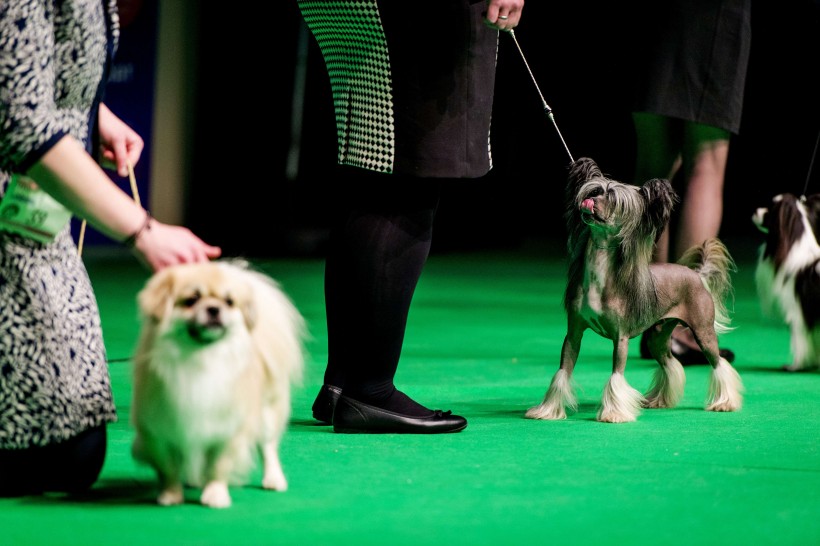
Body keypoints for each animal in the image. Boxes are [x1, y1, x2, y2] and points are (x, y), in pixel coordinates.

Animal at [524, 156, 744, 420]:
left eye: (614, 199)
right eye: (595, 190)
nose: (591, 201)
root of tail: (698, 276)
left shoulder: (620, 339)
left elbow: (616, 376)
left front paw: (613, 414)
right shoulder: (573, 334)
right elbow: (562, 373)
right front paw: (548, 410)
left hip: (703, 332)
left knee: (719, 363)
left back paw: (725, 402)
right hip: (658, 337)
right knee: (670, 364)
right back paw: (659, 400)